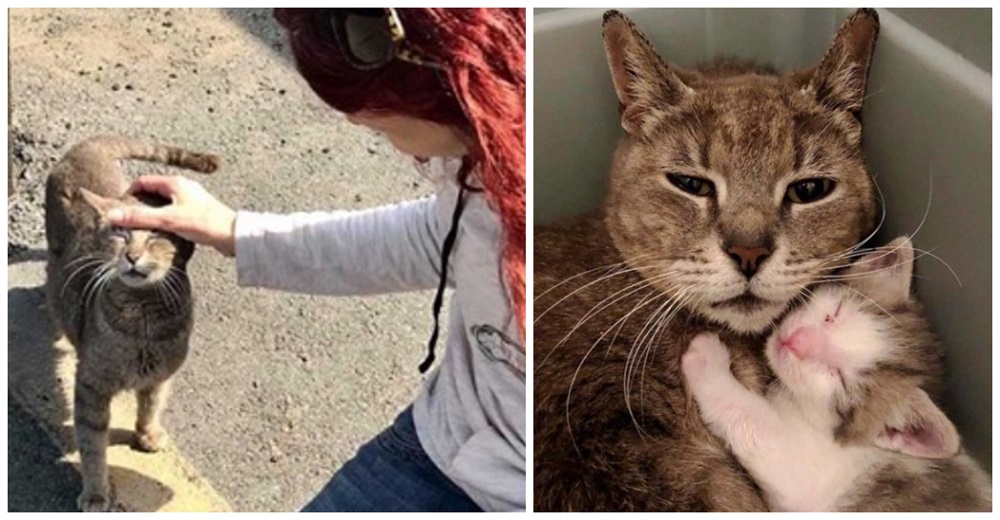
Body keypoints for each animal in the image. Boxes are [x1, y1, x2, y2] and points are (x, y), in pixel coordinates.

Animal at [44, 135, 219, 512]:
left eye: (155, 236)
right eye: (121, 234)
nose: (132, 256)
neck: (143, 324)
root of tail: (85, 146)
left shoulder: (160, 376)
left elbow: (151, 406)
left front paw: (147, 433)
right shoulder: (91, 387)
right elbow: (93, 446)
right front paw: (97, 492)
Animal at [680, 240, 992, 512]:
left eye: (839, 377)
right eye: (834, 314)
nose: (797, 341)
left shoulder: (805, 475)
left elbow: (755, 422)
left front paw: (708, 361)